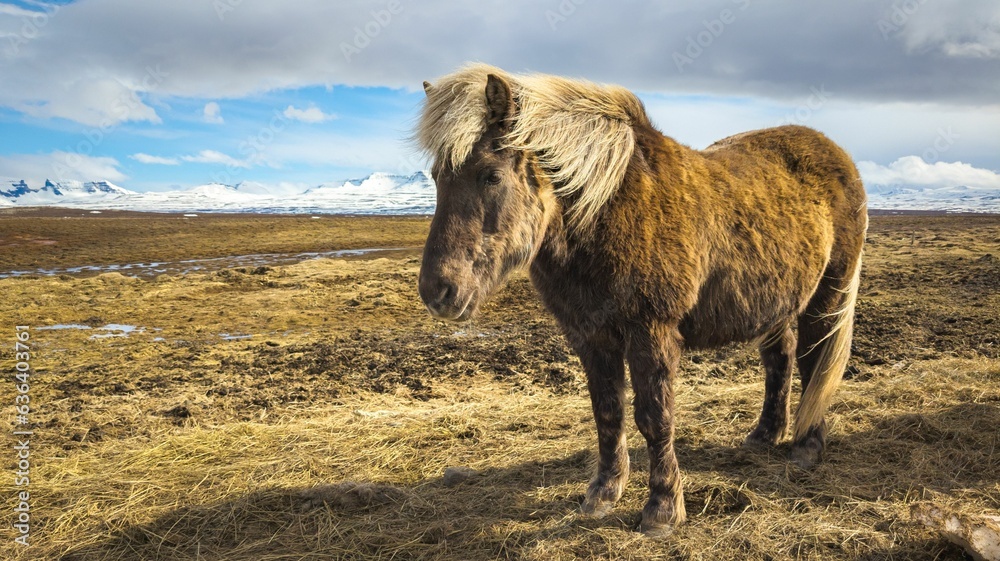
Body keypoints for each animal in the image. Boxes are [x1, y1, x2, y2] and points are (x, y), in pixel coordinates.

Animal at [414, 63, 867, 537]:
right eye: (436, 178)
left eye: (491, 175)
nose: (437, 292)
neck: (605, 212)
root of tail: (837, 155)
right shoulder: (590, 337)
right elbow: (607, 413)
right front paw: (603, 493)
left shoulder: (651, 332)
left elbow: (654, 417)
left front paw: (662, 509)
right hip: (775, 301)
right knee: (780, 358)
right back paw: (764, 435)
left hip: (827, 294)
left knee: (815, 360)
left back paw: (807, 446)